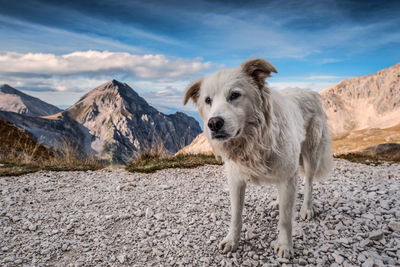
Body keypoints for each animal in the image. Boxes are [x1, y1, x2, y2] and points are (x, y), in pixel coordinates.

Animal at [183, 58, 332, 258]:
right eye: (208, 100)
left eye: (235, 95)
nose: (213, 123)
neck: (254, 140)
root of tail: (309, 91)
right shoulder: (236, 181)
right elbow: (236, 215)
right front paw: (232, 240)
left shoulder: (287, 177)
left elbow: (285, 219)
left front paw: (285, 245)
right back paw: (278, 202)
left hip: (311, 154)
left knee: (308, 183)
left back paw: (307, 209)